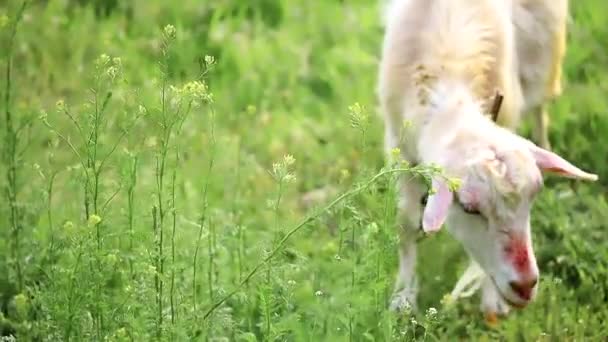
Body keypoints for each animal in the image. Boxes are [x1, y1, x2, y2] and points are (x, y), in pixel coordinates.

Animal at [378, 0, 596, 324]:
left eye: (534, 197)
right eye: (469, 208)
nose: (525, 286)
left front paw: (492, 300)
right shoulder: (399, 146)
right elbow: (404, 222)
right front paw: (403, 299)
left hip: (545, 50)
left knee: (540, 108)